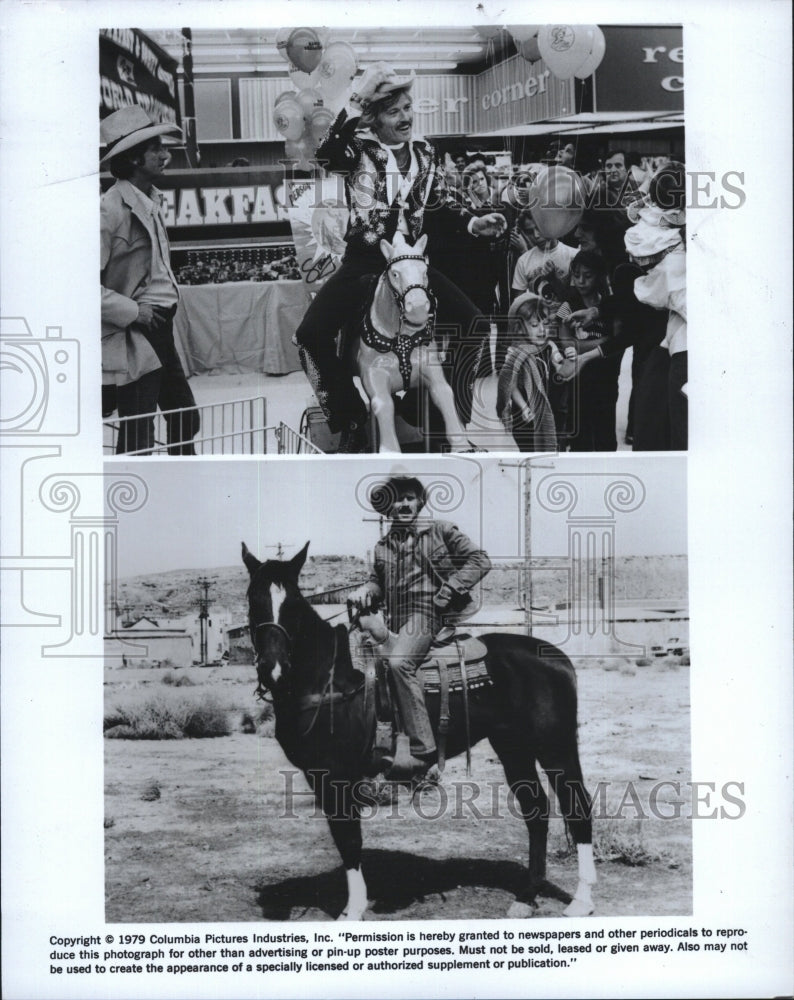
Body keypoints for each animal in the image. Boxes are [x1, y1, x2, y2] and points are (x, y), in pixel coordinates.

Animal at [241, 544, 592, 916]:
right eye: (253, 599)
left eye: (293, 604)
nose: (273, 670)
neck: (330, 677)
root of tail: (558, 658)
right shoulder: (319, 776)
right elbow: (345, 839)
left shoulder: (335, 774)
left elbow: (349, 839)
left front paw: (354, 909)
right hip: (514, 748)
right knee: (536, 811)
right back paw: (526, 897)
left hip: (555, 747)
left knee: (578, 806)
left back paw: (581, 901)